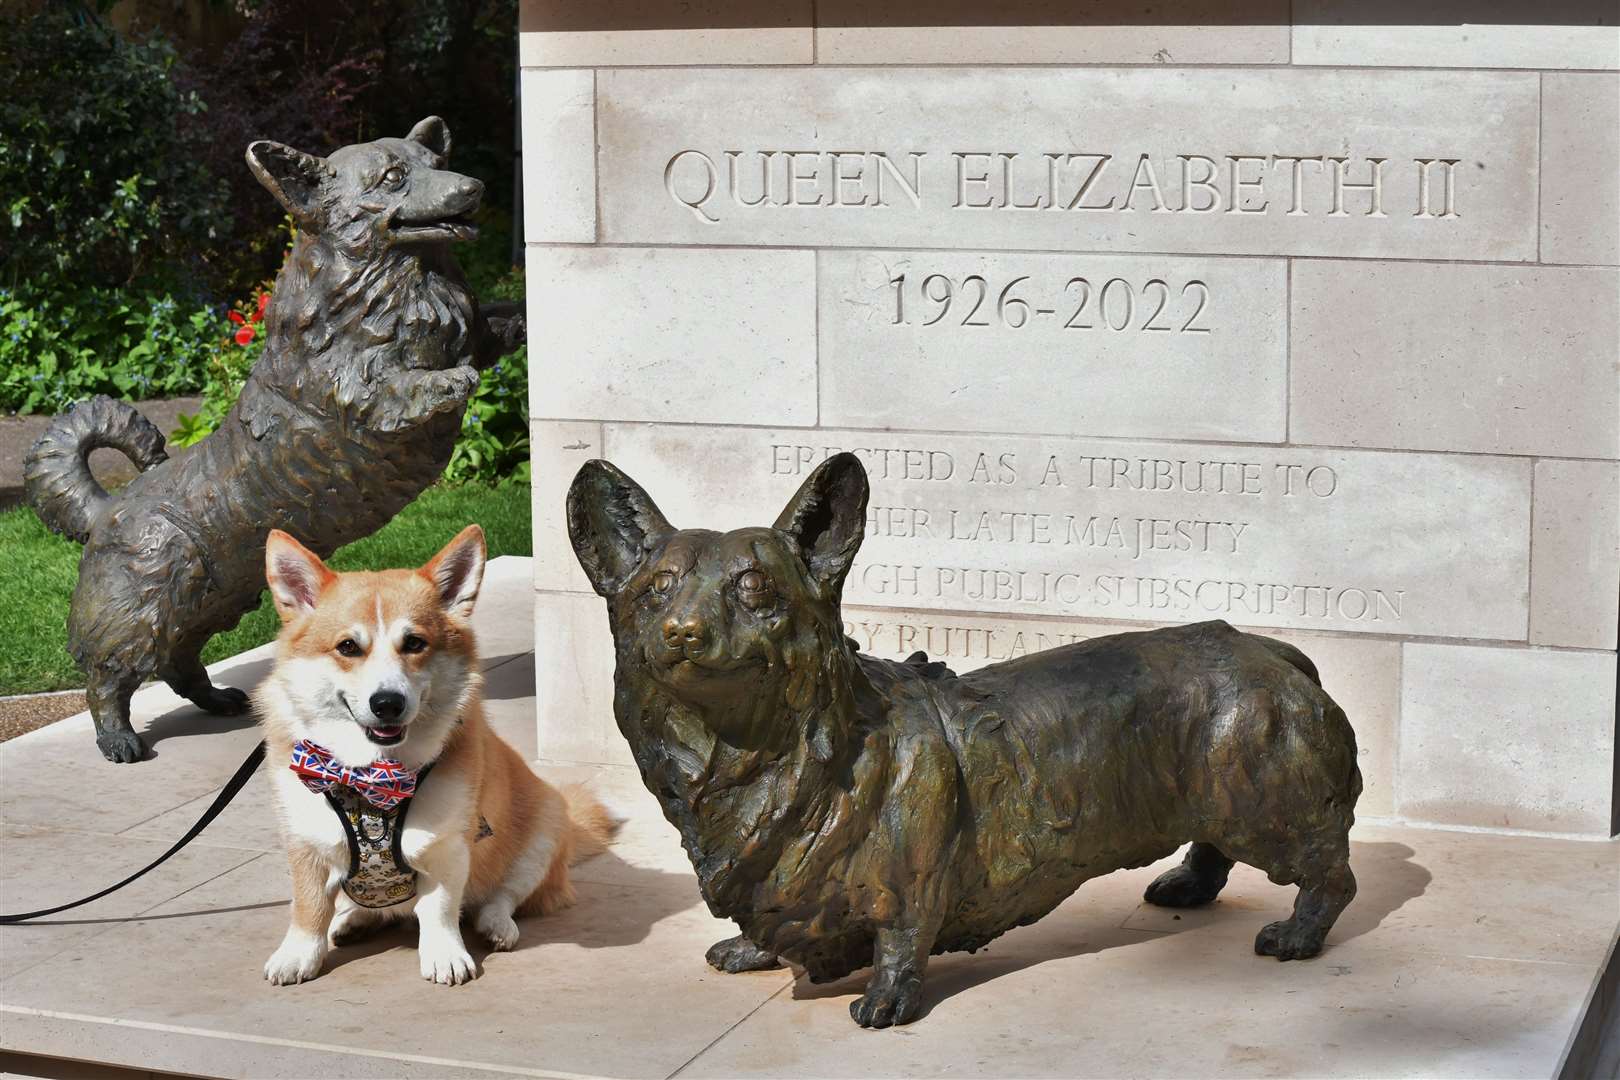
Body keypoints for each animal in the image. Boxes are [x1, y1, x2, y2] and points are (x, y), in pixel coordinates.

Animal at [255, 524, 615, 990]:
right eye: (348, 647)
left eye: (414, 643)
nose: (387, 703)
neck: (374, 774)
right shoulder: (306, 841)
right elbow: (308, 907)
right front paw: (298, 955)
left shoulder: (448, 849)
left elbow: (440, 910)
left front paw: (446, 957)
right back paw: (352, 919)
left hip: (544, 830)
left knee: (504, 895)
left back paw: (496, 926)